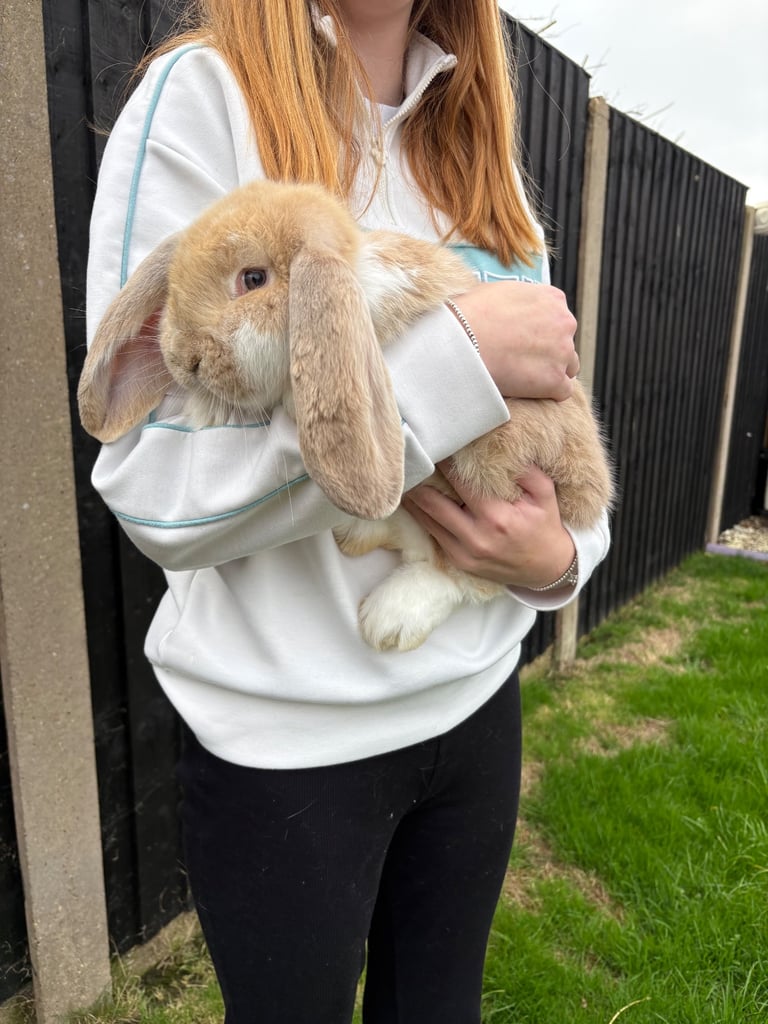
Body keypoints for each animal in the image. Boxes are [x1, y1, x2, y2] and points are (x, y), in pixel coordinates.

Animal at [79, 179, 614, 652]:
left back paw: (388, 619)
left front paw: (208, 406)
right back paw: (356, 535)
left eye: (252, 279)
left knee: (468, 577)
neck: (354, 273)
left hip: (489, 469)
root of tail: (591, 502)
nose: (182, 359)